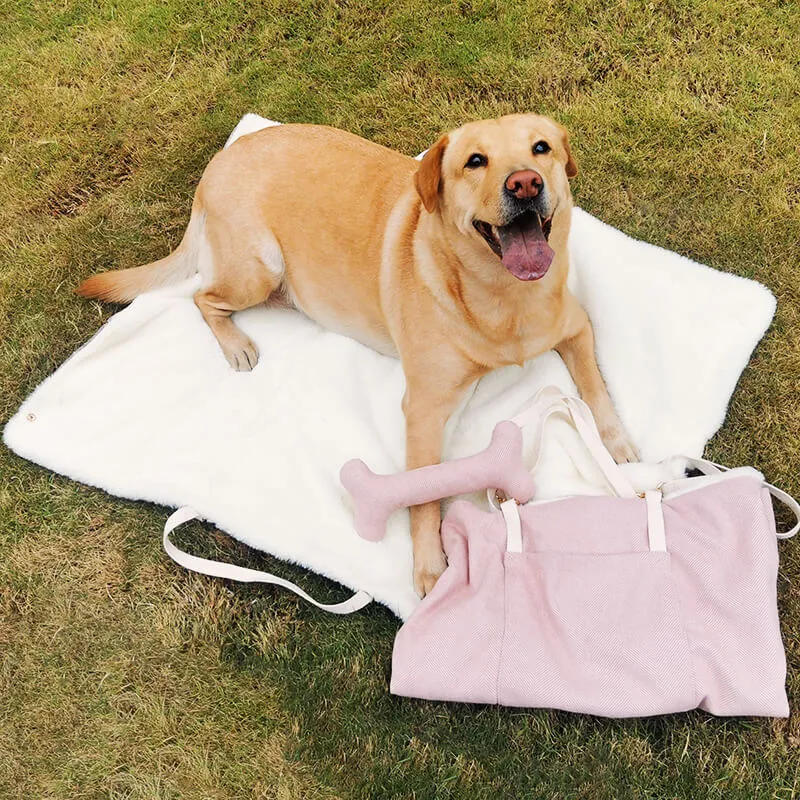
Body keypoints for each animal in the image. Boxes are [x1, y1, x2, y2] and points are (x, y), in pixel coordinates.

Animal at [76, 115, 636, 596]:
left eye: (541, 148)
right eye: (475, 161)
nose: (525, 184)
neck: (503, 298)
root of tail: (222, 158)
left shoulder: (576, 328)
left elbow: (594, 387)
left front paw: (616, 443)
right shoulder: (425, 410)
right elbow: (423, 494)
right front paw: (429, 567)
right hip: (257, 268)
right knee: (202, 297)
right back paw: (236, 344)